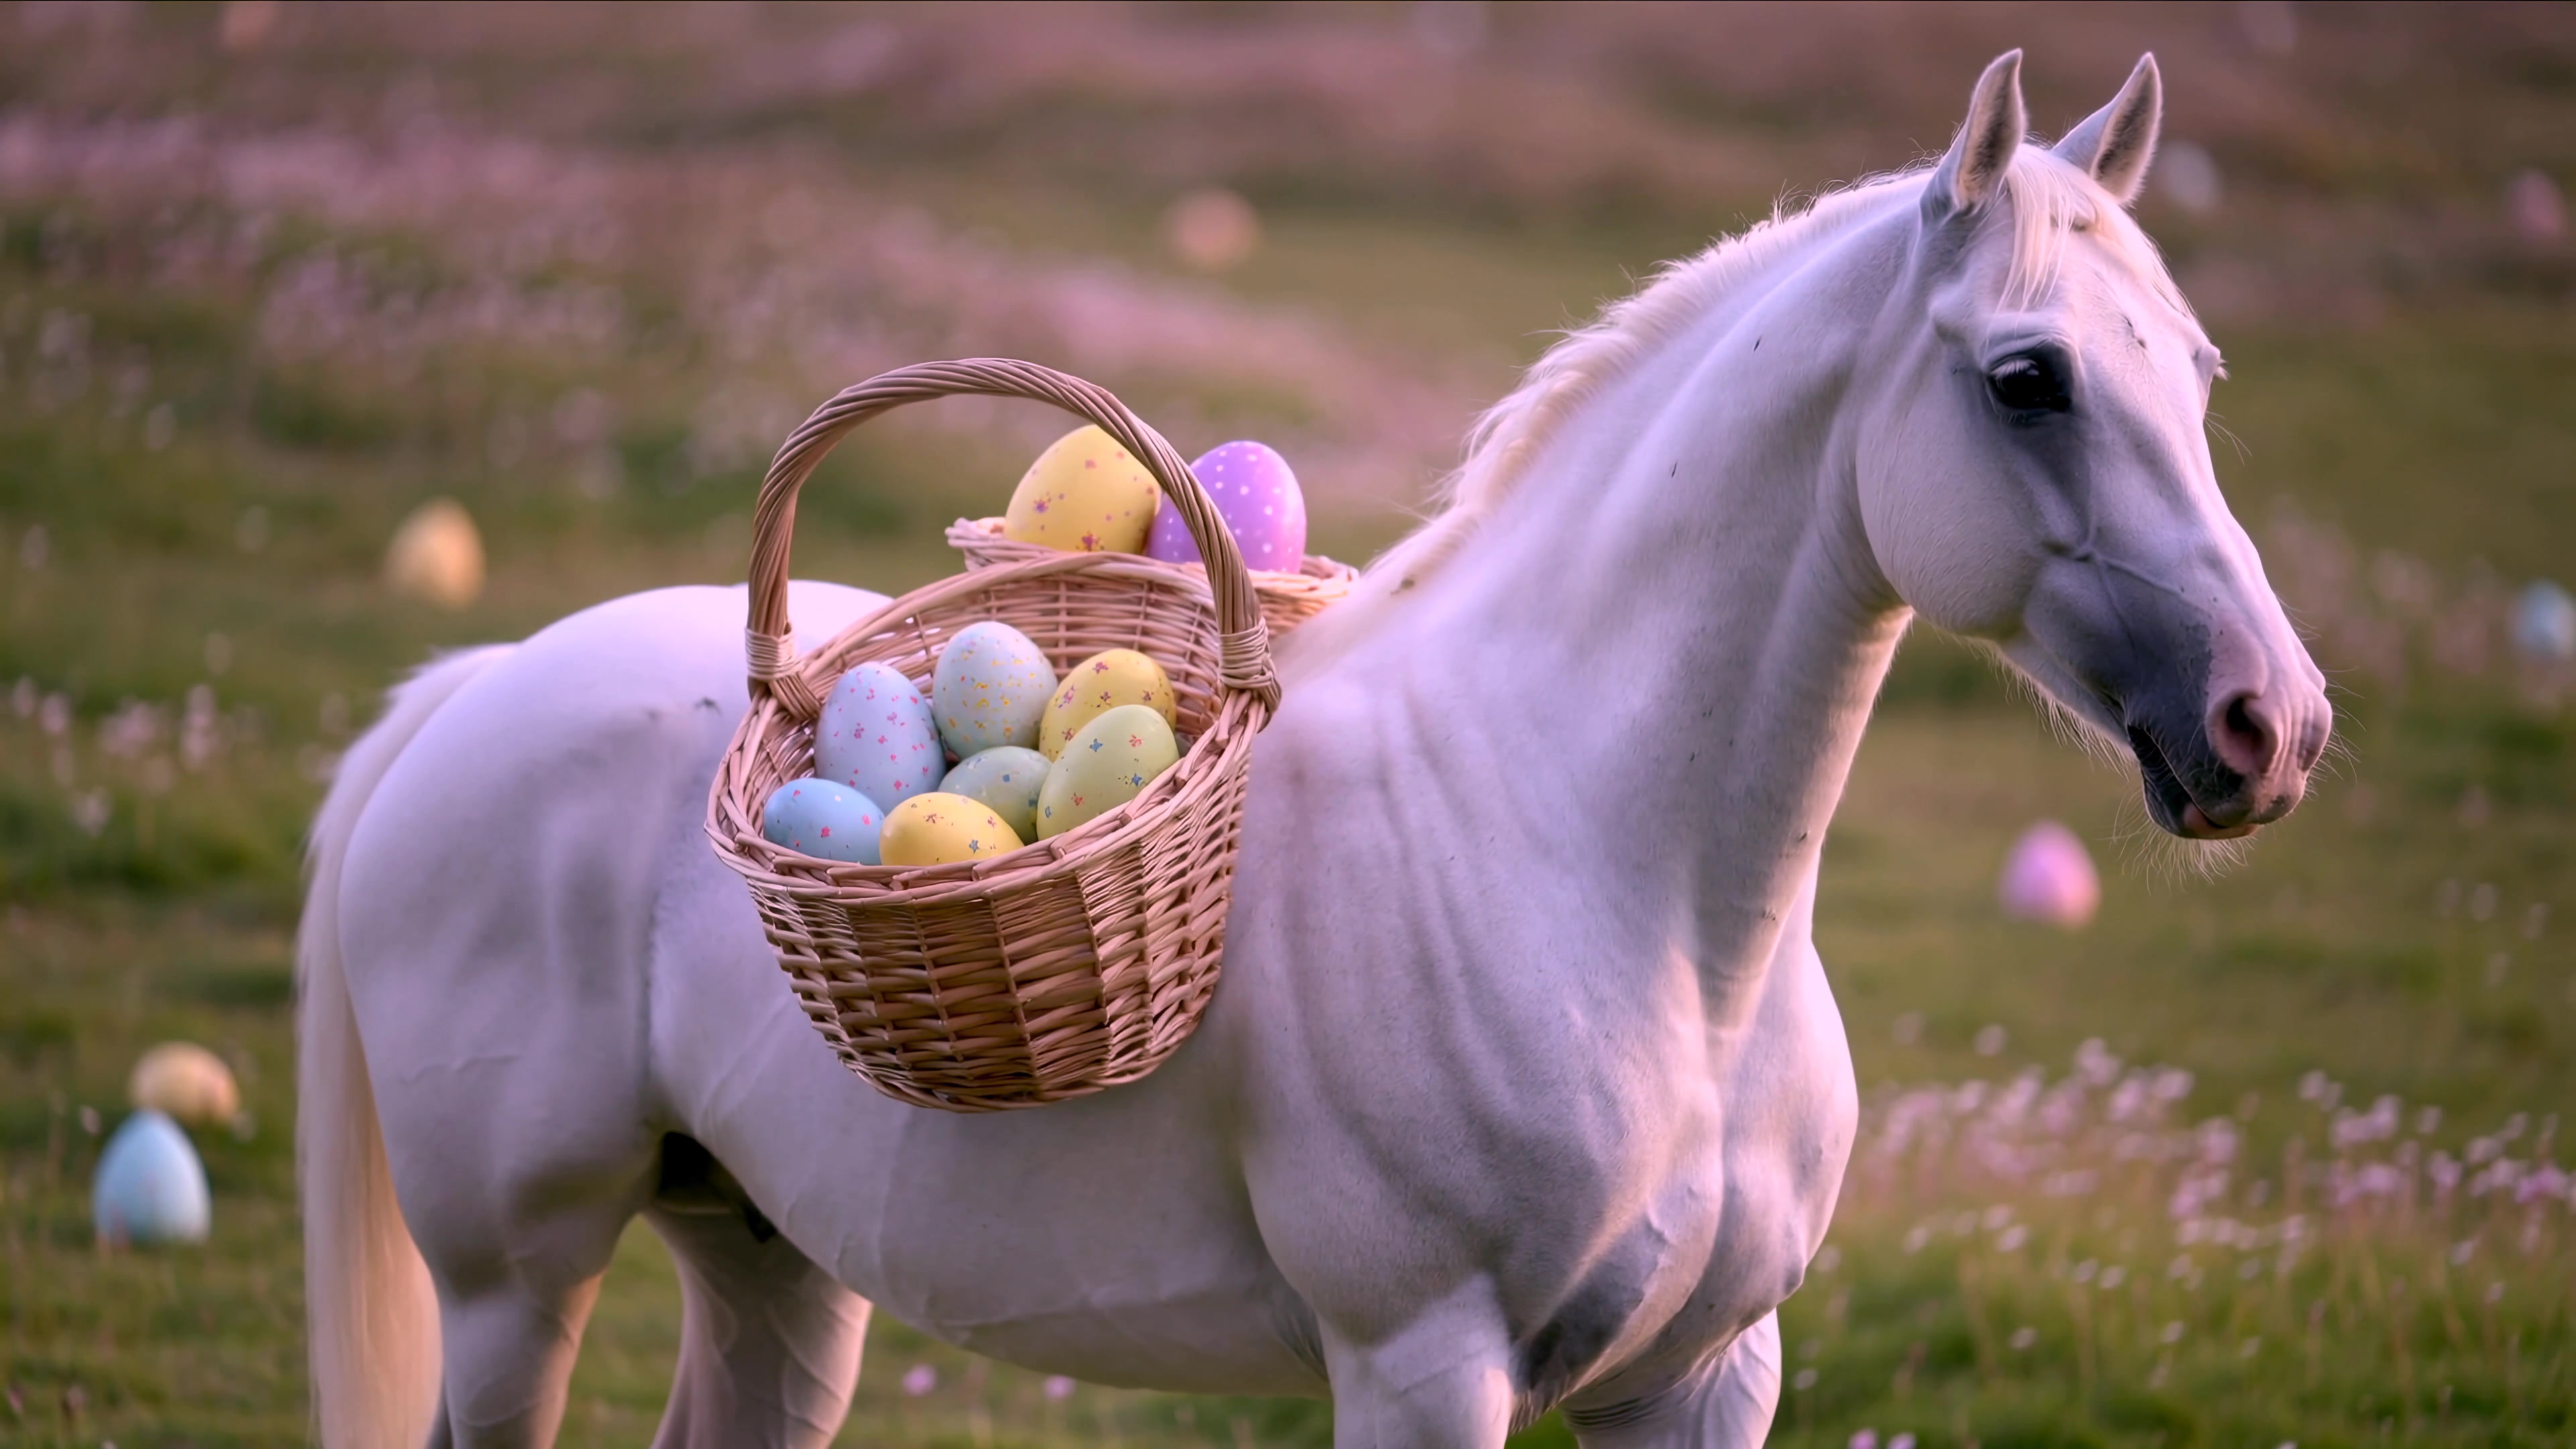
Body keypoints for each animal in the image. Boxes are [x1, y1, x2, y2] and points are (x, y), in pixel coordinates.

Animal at [299, 51, 2331, 1447]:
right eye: (2025, 379)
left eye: (2200, 372)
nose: (2267, 724)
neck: (1617, 890)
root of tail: (466, 690)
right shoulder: (1423, 1369)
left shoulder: (1705, 1378)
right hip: (517, 1284)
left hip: (762, 1262)